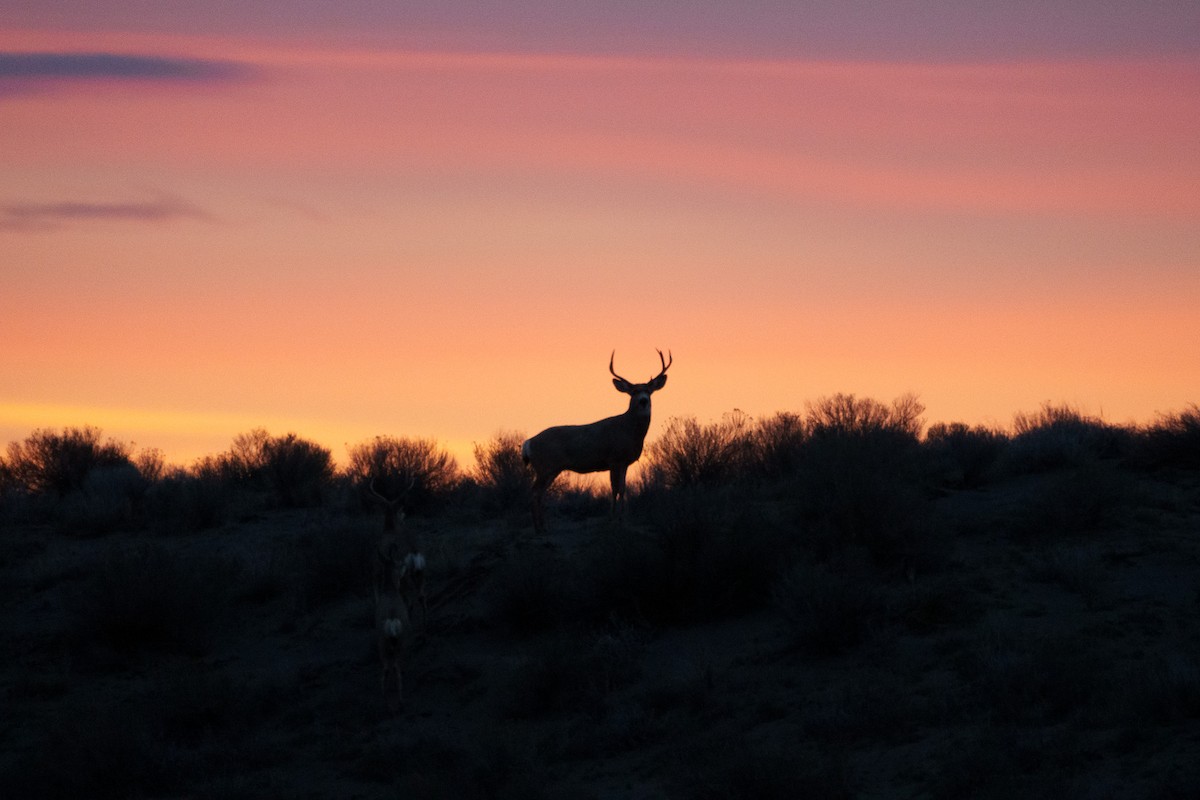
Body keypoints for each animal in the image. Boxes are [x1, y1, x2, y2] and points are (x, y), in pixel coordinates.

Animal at [521, 349, 671, 534]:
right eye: (634, 392)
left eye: (649, 391)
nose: (643, 401)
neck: (628, 430)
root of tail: (528, 443)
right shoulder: (613, 459)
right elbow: (614, 488)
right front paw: (612, 518)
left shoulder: (625, 462)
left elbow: (623, 489)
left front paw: (622, 519)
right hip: (546, 466)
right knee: (535, 492)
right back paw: (539, 528)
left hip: (550, 469)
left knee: (540, 493)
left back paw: (543, 526)